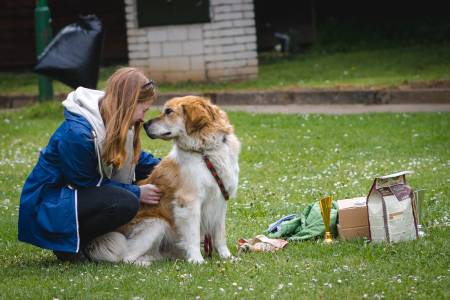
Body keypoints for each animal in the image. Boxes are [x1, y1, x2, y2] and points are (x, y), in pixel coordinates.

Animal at [84, 96, 239, 264]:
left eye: (169, 112)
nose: (145, 124)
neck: (205, 151)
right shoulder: (189, 201)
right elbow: (193, 235)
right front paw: (196, 259)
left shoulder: (221, 199)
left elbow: (220, 233)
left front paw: (227, 256)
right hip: (156, 224)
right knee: (125, 258)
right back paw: (144, 263)